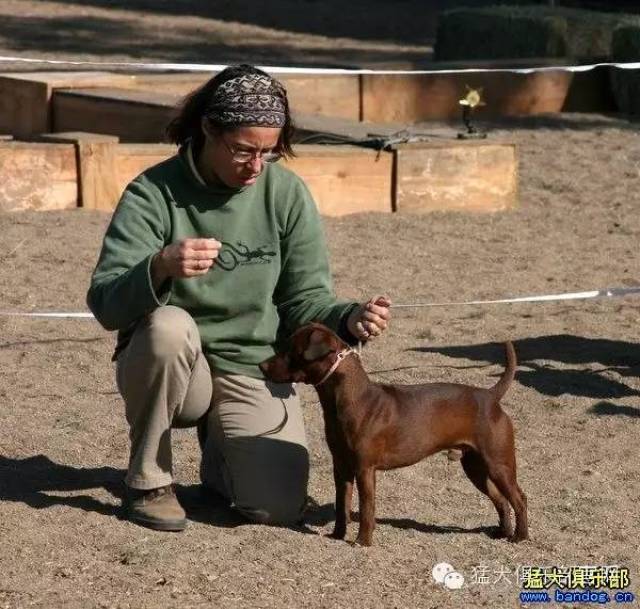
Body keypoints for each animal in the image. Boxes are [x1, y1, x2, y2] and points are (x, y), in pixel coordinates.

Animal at [258, 324, 528, 548]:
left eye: (291, 350)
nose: (261, 366)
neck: (349, 399)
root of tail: (490, 396)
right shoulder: (341, 467)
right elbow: (342, 504)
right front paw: (337, 535)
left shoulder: (365, 469)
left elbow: (366, 508)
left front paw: (362, 541)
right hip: (475, 467)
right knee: (501, 500)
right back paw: (503, 532)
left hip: (498, 464)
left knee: (519, 498)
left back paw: (520, 537)